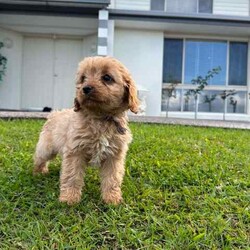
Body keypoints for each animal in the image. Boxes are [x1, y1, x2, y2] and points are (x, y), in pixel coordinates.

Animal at [33, 56, 139, 205]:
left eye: (107, 77)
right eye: (83, 78)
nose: (86, 88)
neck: (100, 118)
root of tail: (55, 113)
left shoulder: (114, 156)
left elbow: (112, 179)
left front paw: (112, 199)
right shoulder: (75, 151)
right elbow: (72, 176)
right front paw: (69, 198)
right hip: (46, 148)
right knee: (39, 157)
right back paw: (38, 172)